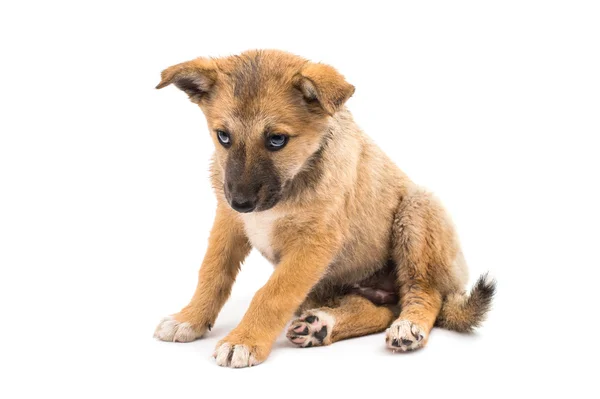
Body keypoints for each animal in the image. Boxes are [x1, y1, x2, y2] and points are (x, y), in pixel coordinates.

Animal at [152, 50, 494, 368]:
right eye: (223, 136)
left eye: (277, 140)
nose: (241, 203)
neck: (293, 181)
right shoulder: (229, 223)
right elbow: (212, 274)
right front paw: (190, 318)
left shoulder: (313, 243)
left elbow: (272, 294)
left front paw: (243, 340)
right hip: (326, 289)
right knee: (379, 310)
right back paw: (322, 326)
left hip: (417, 211)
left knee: (425, 292)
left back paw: (407, 327)